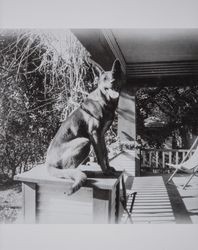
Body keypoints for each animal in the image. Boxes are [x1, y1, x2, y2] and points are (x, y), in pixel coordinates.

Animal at [45, 59, 121, 194]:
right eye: (105, 78)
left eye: (115, 75)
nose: (113, 82)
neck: (103, 101)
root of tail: (49, 163)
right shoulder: (94, 134)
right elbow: (100, 155)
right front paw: (105, 171)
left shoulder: (101, 135)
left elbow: (105, 153)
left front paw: (109, 168)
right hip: (84, 141)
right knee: (68, 169)